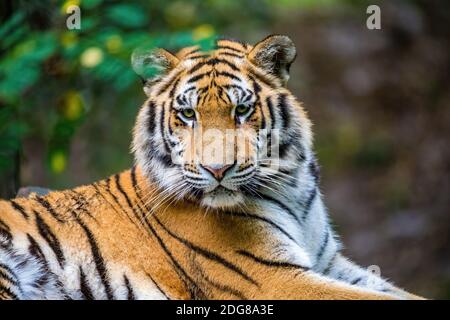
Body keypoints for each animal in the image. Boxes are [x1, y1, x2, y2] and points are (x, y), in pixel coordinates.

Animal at [0, 35, 422, 300]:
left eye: (242, 109)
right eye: (187, 114)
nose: (217, 170)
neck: (291, 187)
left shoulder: (329, 262)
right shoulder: (272, 277)